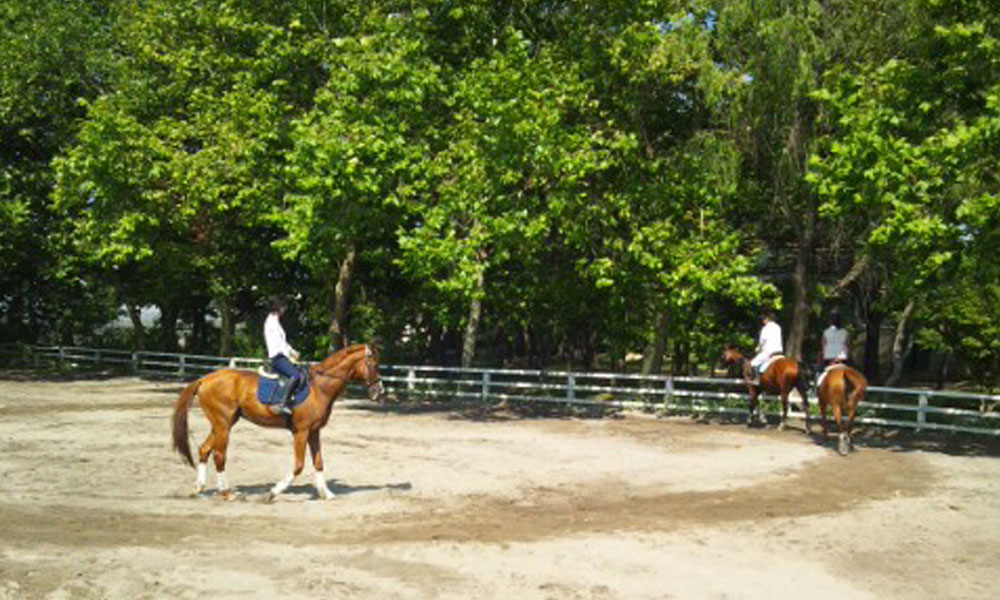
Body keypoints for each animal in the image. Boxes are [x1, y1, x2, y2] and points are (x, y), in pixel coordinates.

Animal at [172, 342, 382, 502]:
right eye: (373, 362)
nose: (379, 391)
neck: (319, 388)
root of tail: (205, 379)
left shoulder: (314, 431)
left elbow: (319, 463)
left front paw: (326, 493)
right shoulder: (301, 432)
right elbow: (299, 465)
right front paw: (272, 492)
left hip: (223, 424)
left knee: (204, 450)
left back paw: (200, 488)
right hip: (223, 425)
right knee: (219, 455)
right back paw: (227, 493)